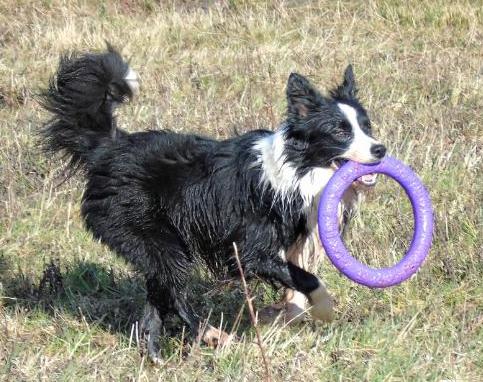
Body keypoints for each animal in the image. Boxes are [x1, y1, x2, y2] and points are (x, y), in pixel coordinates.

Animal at [41, 47, 388, 362]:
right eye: (340, 131)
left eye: (367, 126)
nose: (380, 150)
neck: (298, 169)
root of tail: (107, 148)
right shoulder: (250, 249)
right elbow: (303, 276)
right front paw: (324, 308)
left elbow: (296, 279)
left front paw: (288, 313)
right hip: (152, 236)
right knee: (174, 291)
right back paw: (212, 335)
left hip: (158, 245)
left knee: (158, 296)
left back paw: (156, 355)